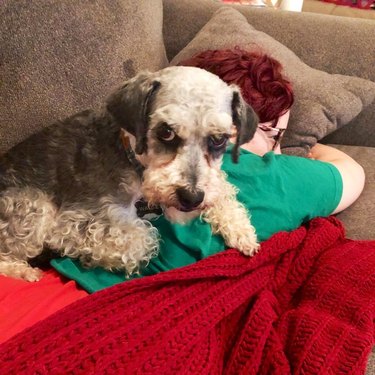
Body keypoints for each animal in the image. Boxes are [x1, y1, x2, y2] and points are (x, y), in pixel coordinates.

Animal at [0, 67, 260, 282]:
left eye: (219, 139)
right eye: (166, 131)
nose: (191, 198)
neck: (131, 157)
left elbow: (223, 191)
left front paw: (242, 232)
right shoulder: (73, 222)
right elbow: (141, 241)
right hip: (35, 207)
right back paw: (25, 271)